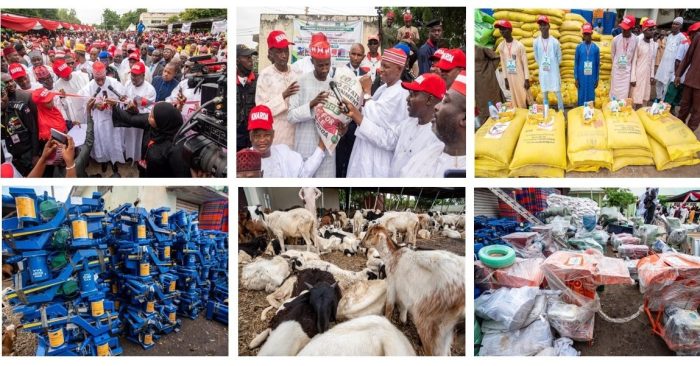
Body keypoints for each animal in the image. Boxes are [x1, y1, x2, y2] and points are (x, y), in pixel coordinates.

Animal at [360, 224, 464, 356]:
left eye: (369, 233)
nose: (360, 243)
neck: (393, 255)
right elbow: (403, 304)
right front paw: (403, 320)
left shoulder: (392, 283)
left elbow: (389, 307)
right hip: (445, 327)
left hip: (429, 319)